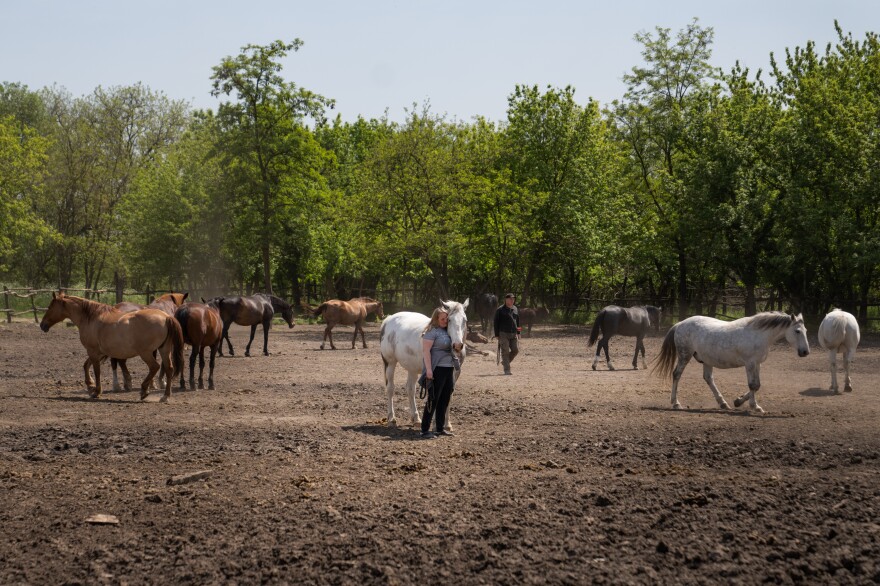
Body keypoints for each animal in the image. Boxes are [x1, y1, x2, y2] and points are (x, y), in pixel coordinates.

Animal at [40, 292, 185, 402]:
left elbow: (96, 370)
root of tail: (166, 317)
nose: (42, 325)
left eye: (50, 306)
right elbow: (86, 365)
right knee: (169, 369)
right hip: (164, 350)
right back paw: (165, 396)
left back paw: (144, 390)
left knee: (155, 367)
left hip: (146, 353)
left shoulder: (93, 351)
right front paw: (90, 385)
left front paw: (96, 391)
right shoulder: (99, 352)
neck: (90, 318)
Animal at [382, 296, 470, 428]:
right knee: (390, 388)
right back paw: (391, 418)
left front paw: (447, 424)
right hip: (390, 363)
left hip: (412, 367)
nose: (457, 346)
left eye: (465, 320)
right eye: (449, 319)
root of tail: (388, 320)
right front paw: (436, 424)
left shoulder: (455, 373)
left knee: (410, 389)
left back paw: (416, 418)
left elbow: (448, 395)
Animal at [652, 312, 812, 412]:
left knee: (708, 378)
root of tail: (680, 324)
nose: (805, 352)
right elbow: (753, 385)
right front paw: (755, 406)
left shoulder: (757, 364)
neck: (759, 334)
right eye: (797, 331)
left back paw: (723, 403)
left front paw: (738, 401)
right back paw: (676, 403)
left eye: (806, 330)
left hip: (706, 360)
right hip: (685, 355)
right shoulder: (750, 363)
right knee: (677, 374)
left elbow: (757, 385)